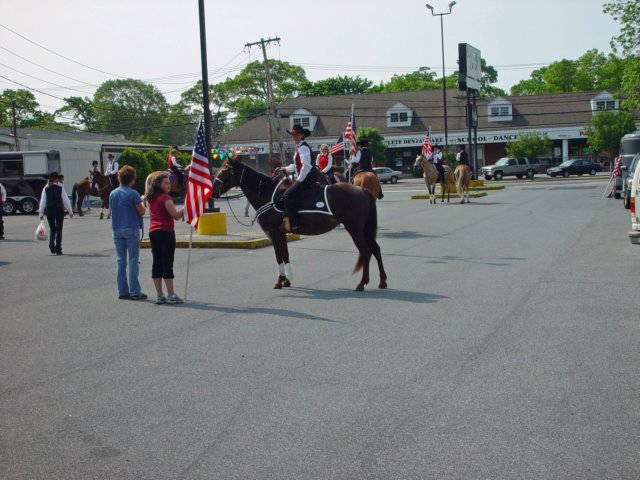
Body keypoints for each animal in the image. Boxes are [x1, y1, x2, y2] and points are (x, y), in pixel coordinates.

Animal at [215, 159, 388, 290]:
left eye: (224, 171)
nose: (214, 191)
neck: (267, 193)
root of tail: (362, 190)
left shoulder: (274, 233)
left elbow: (279, 256)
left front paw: (279, 282)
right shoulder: (282, 233)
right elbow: (285, 255)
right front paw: (287, 280)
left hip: (355, 229)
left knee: (365, 251)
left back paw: (362, 283)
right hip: (365, 229)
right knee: (376, 250)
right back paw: (382, 281)